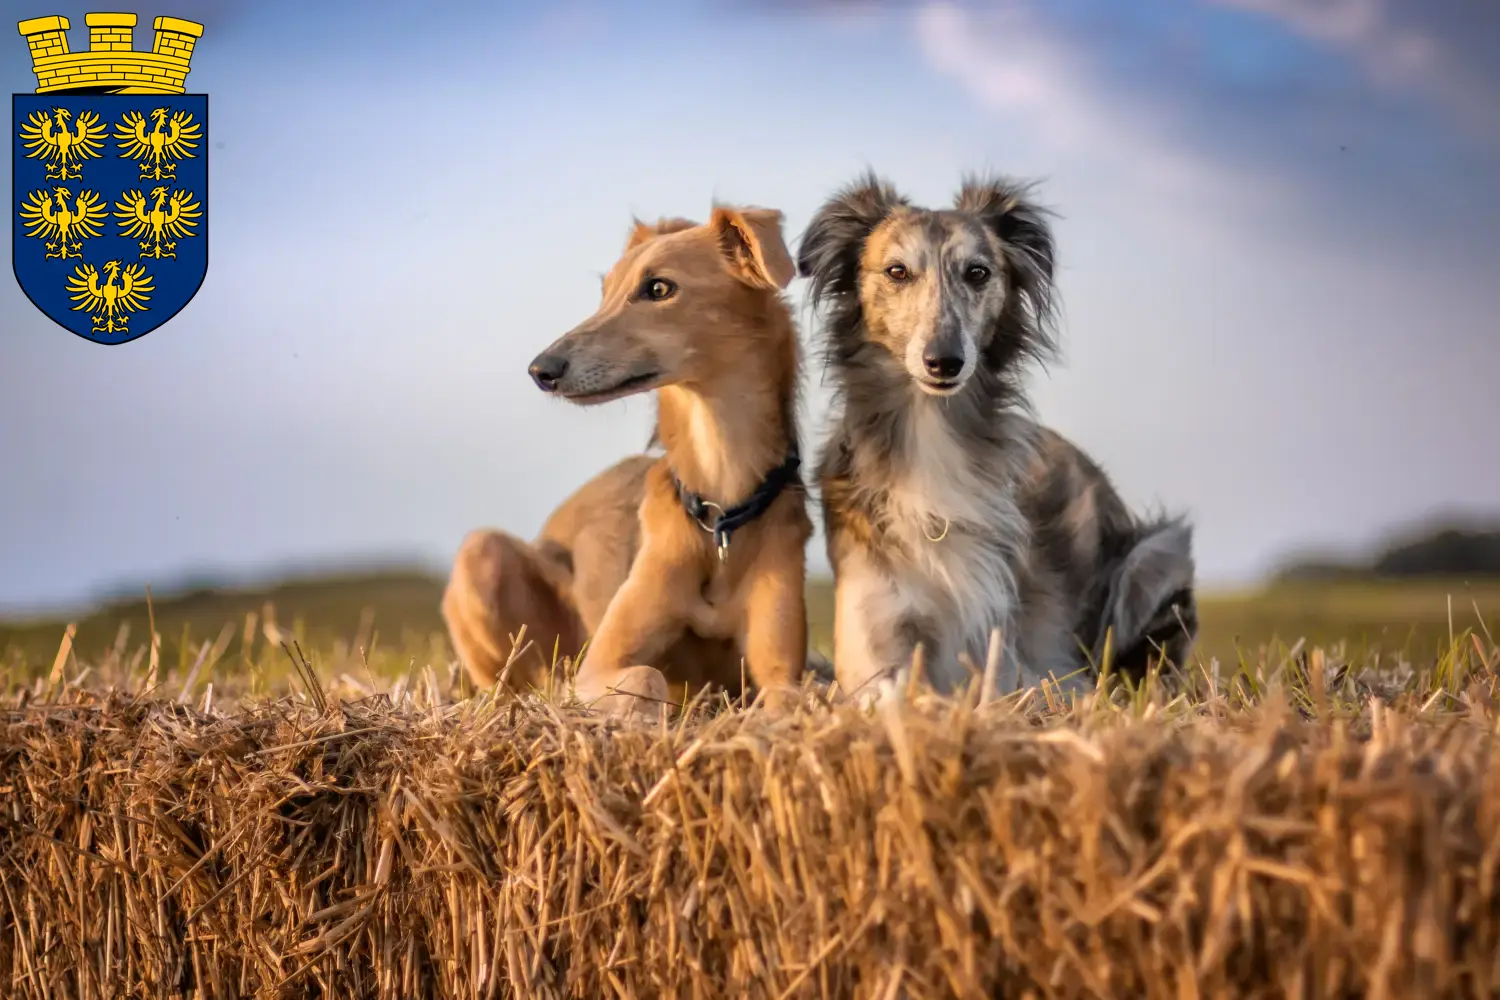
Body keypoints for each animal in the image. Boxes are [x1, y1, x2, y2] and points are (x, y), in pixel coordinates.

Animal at [438, 206, 816, 716]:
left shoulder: (780, 673)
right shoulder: (598, 666)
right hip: (484, 554)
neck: (719, 508)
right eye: (605, 292)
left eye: (658, 288)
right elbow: (646, 676)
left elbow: (791, 698)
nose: (541, 370)